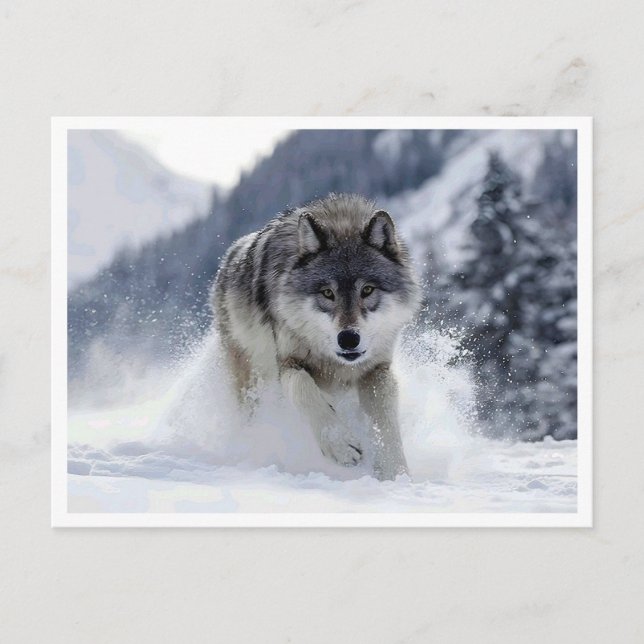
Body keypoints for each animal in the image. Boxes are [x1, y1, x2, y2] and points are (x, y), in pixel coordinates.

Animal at [212, 193, 421, 480]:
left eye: (367, 290)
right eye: (327, 293)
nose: (348, 339)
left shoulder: (376, 370)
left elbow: (386, 422)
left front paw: (395, 474)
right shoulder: (288, 363)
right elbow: (304, 391)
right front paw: (340, 446)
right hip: (250, 379)